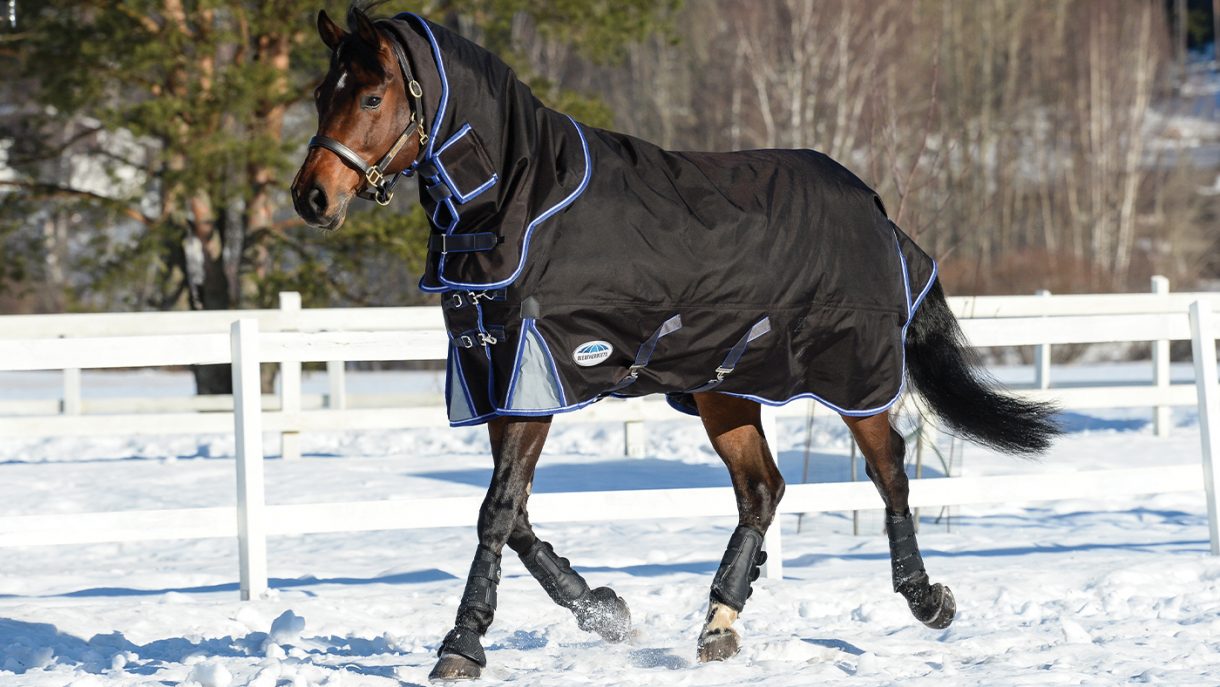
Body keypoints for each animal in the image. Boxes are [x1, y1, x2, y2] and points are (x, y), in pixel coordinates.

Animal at [290, 4, 1060, 680]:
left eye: (371, 95)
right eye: (322, 94)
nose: (312, 197)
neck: (523, 202)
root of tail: (876, 208)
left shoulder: (537, 377)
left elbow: (497, 510)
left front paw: (462, 645)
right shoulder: (498, 377)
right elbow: (516, 514)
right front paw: (604, 610)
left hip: (854, 376)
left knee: (890, 469)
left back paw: (928, 600)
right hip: (726, 388)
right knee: (763, 489)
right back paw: (719, 623)